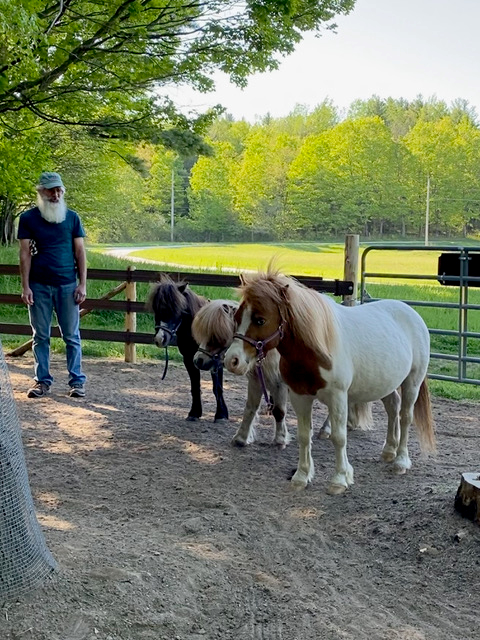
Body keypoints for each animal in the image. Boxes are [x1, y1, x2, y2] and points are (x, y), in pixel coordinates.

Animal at [147, 274, 229, 423]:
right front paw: (194, 413)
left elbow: (217, 388)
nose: (160, 339)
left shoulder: (216, 362)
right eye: (156, 309)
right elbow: (195, 387)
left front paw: (221, 415)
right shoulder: (189, 359)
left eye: (176, 309)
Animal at [191, 299, 290, 448]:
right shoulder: (256, 380)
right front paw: (241, 438)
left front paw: (280, 440)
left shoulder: (280, 383)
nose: (198, 361)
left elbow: (279, 411)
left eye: (216, 335)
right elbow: (250, 408)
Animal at [224, 269, 436, 495]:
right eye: (237, 317)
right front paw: (302, 476)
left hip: (412, 382)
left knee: (405, 417)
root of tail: (413, 314)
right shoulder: (300, 396)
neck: (316, 348)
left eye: (260, 320)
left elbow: (339, 437)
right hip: (384, 383)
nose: (232, 360)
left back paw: (401, 461)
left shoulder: (338, 397)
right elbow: (303, 435)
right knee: (393, 407)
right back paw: (389, 451)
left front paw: (339, 479)